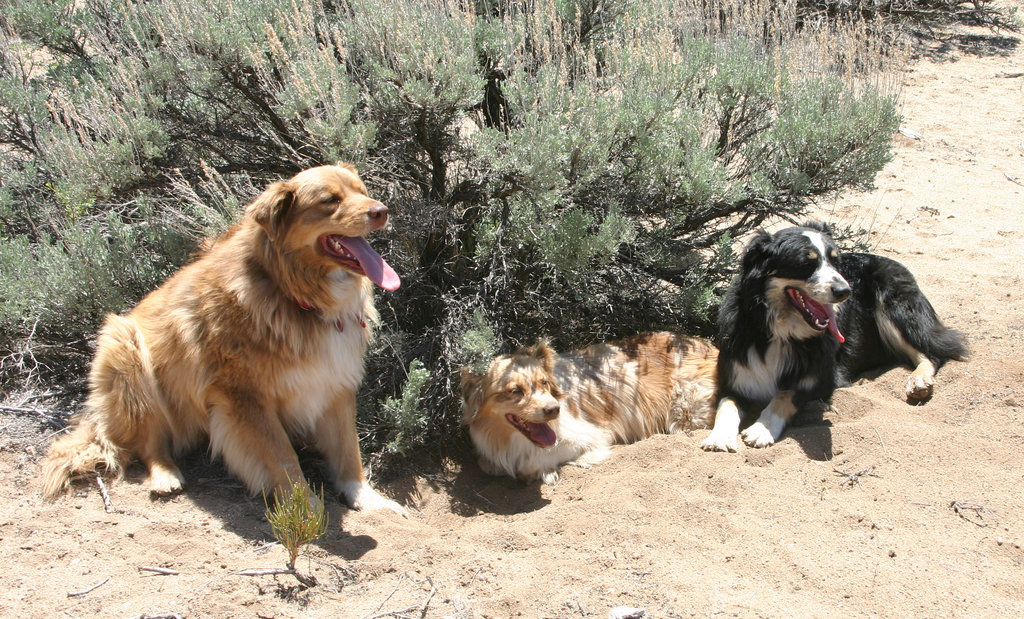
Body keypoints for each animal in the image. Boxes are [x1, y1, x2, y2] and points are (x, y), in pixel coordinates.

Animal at [39, 162, 407, 512]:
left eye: (362, 191)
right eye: (330, 201)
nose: (382, 210)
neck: (291, 294)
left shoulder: (335, 382)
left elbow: (349, 450)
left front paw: (366, 497)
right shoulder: (245, 396)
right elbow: (282, 456)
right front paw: (302, 507)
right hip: (128, 355)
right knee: (149, 440)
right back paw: (165, 474)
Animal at [460, 334, 716, 483]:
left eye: (544, 383)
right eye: (515, 391)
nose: (554, 409)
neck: (511, 440)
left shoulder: (591, 435)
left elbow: (531, 462)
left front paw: (546, 472)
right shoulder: (488, 452)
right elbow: (489, 464)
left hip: (686, 408)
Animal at [700, 220, 962, 452]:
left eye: (836, 262)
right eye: (806, 263)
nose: (845, 291)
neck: (779, 332)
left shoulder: (820, 380)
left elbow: (784, 395)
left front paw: (761, 429)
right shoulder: (734, 378)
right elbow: (726, 405)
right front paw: (719, 437)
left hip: (895, 306)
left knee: (932, 352)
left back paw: (919, 381)